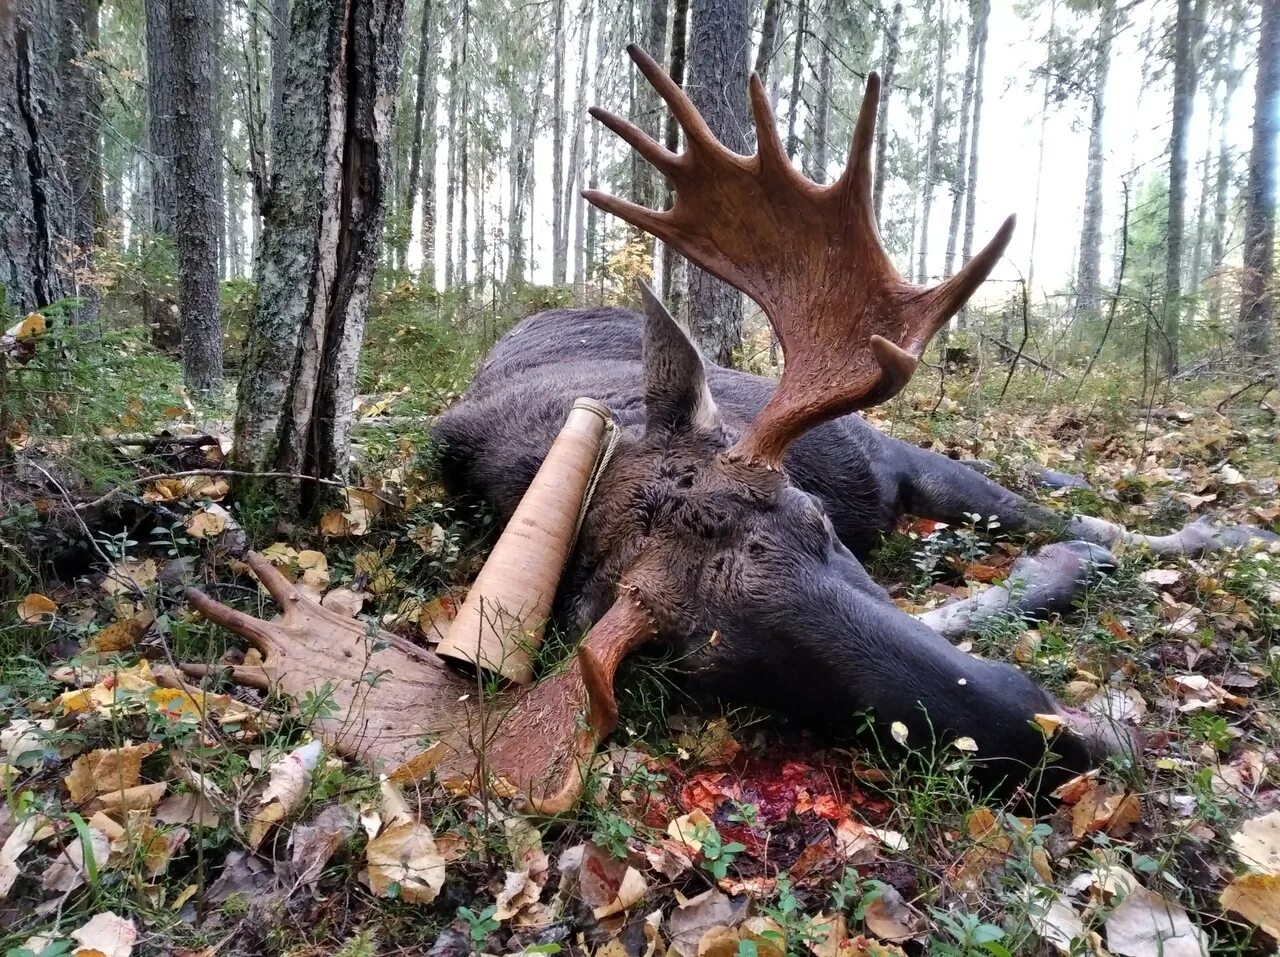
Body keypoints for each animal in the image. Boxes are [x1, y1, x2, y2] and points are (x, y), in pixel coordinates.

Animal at [185, 48, 1274, 813]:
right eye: (704, 663)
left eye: (814, 525)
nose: (1060, 739)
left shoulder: (884, 459)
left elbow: (1062, 523)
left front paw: (1201, 533)